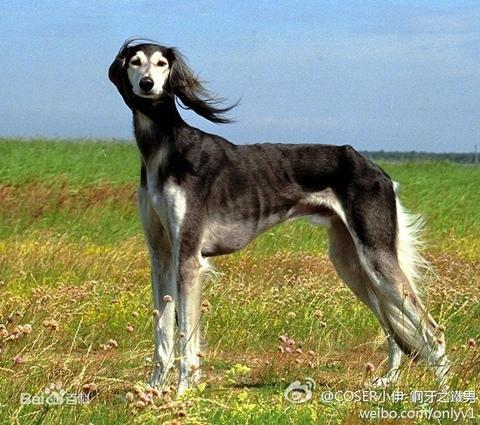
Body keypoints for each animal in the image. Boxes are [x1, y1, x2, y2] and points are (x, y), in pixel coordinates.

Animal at [109, 38, 450, 392]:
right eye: (135, 61)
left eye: (162, 63)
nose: (147, 84)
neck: (166, 149)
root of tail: (379, 171)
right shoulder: (161, 255)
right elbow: (162, 331)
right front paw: (153, 390)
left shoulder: (188, 257)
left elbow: (186, 337)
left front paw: (183, 393)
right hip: (352, 262)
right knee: (394, 329)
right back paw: (388, 381)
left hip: (376, 257)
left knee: (431, 330)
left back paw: (442, 391)